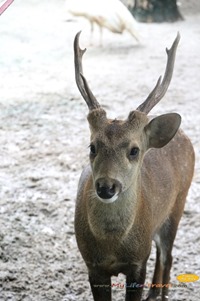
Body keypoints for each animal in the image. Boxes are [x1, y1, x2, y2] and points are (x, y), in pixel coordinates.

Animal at [72, 31, 195, 300]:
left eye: (134, 150)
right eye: (92, 147)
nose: (106, 187)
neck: (112, 246)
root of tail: (182, 135)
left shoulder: (138, 262)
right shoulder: (92, 265)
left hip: (178, 204)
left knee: (168, 256)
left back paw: (162, 295)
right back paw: (153, 294)